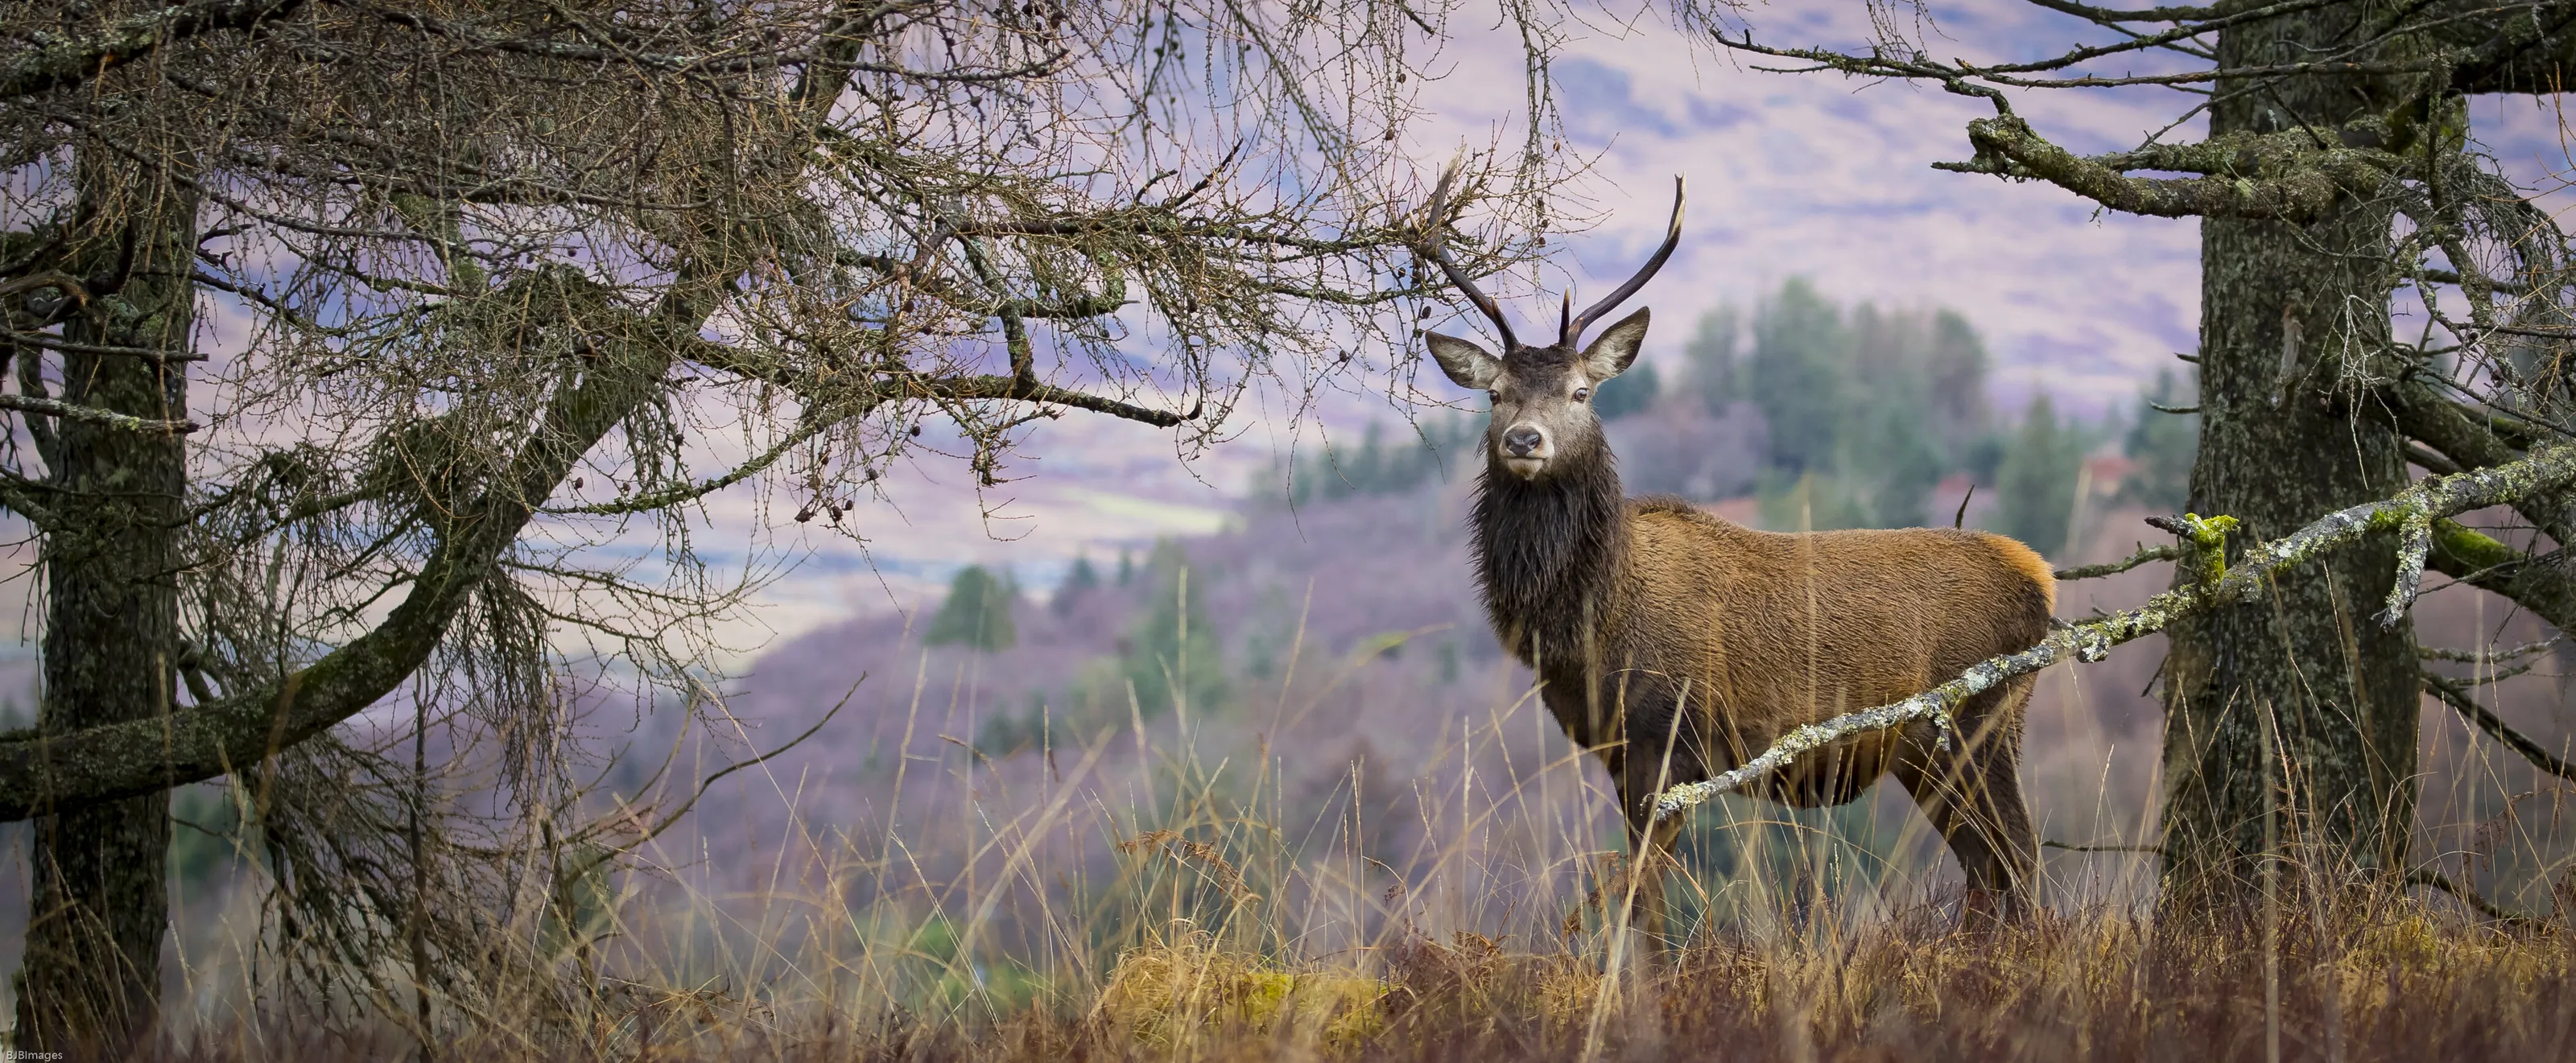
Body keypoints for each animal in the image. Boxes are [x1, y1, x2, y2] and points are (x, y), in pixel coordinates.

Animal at [1410, 169, 2053, 945]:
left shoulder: (1668, 735)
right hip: (1929, 751)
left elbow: (1646, 894)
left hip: (1980, 721)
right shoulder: (1614, 749)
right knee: (1985, 863)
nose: (1525, 439)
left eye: (1581, 391)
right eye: (1497, 394)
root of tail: (2042, 580)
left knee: (2019, 851)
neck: (1591, 622)